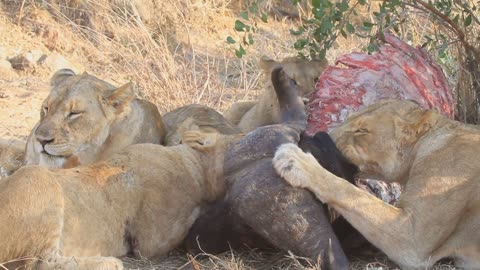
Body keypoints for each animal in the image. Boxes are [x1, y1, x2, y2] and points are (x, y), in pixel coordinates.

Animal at [274, 100, 480, 268]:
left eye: (361, 131)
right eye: (348, 119)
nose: (320, 136)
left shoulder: (413, 240)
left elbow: (350, 192)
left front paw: (295, 160)